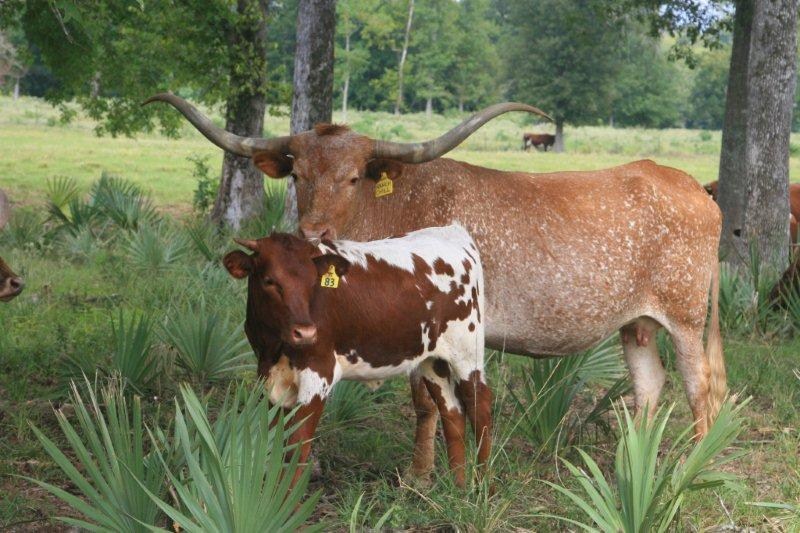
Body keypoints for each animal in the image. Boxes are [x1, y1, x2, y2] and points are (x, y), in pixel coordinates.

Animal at [222, 225, 490, 487]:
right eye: (269, 281)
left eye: (312, 281)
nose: (305, 332)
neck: (275, 346)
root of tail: (452, 230)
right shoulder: (268, 376)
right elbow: (274, 443)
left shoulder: (318, 374)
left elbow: (297, 448)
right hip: (432, 360)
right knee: (452, 412)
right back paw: (459, 488)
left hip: (468, 352)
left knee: (480, 405)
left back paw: (484, 488)